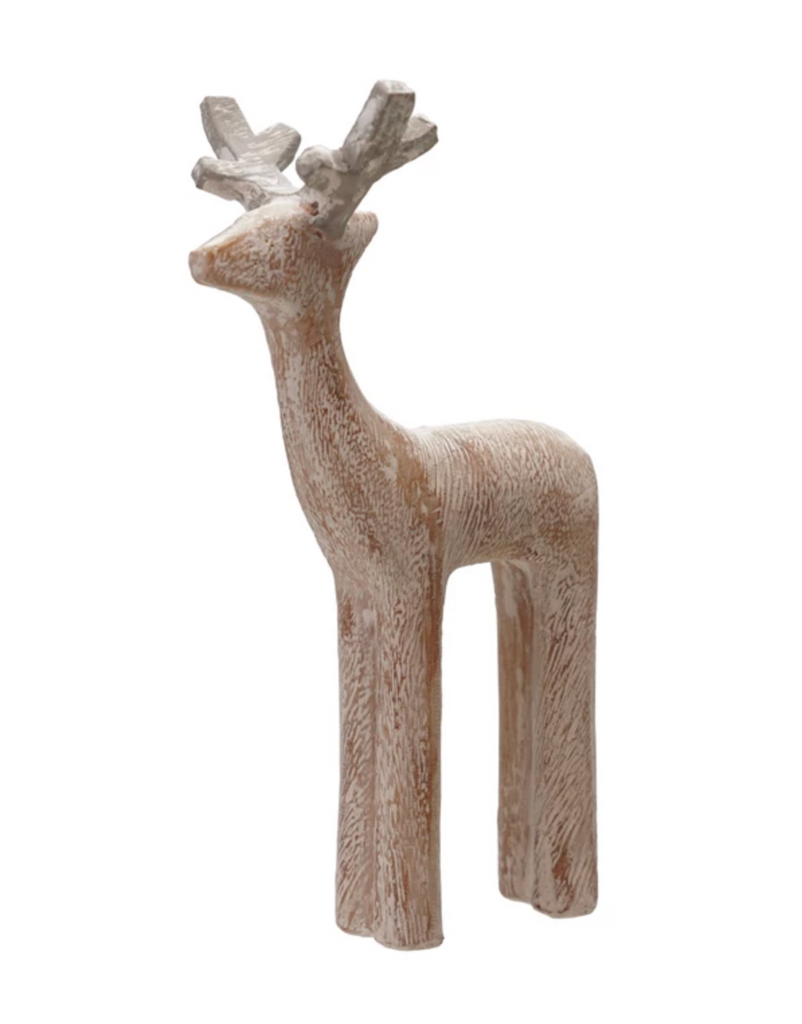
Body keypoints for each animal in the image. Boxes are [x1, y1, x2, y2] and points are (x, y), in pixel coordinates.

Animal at [189, 81, 598, 950]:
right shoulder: (356, 592)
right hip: (516, 570)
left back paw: (566, 899)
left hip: (570, 563)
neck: (378, 453)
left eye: (304, 222)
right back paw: (522, 888)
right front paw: (352, 920)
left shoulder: (414, 572)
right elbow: (360, 737)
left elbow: (411, 741)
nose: (200, 256)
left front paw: (409, 935)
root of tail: (578, 450)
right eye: (248, 212)